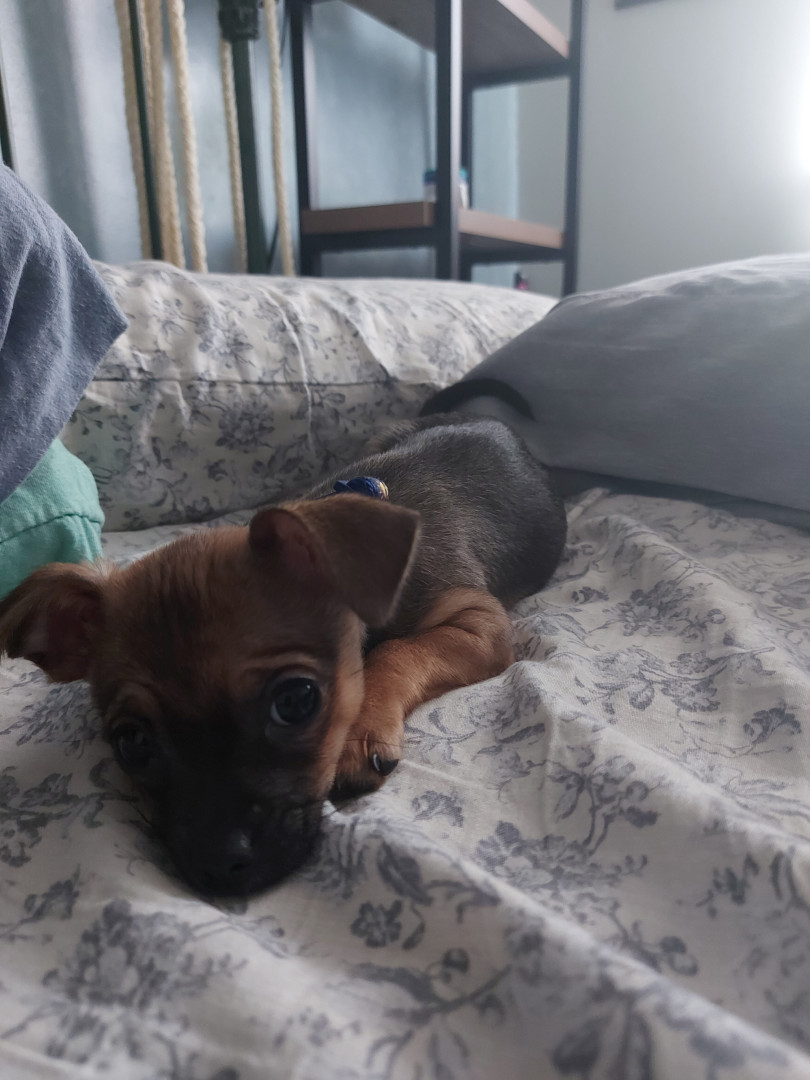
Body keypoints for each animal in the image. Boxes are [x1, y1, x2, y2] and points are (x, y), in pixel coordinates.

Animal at [0, 414, 566, 897]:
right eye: (131, 743)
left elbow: (396, 649)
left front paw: (361, 728)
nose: (218, 865)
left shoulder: (480, 623)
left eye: (295, 702)